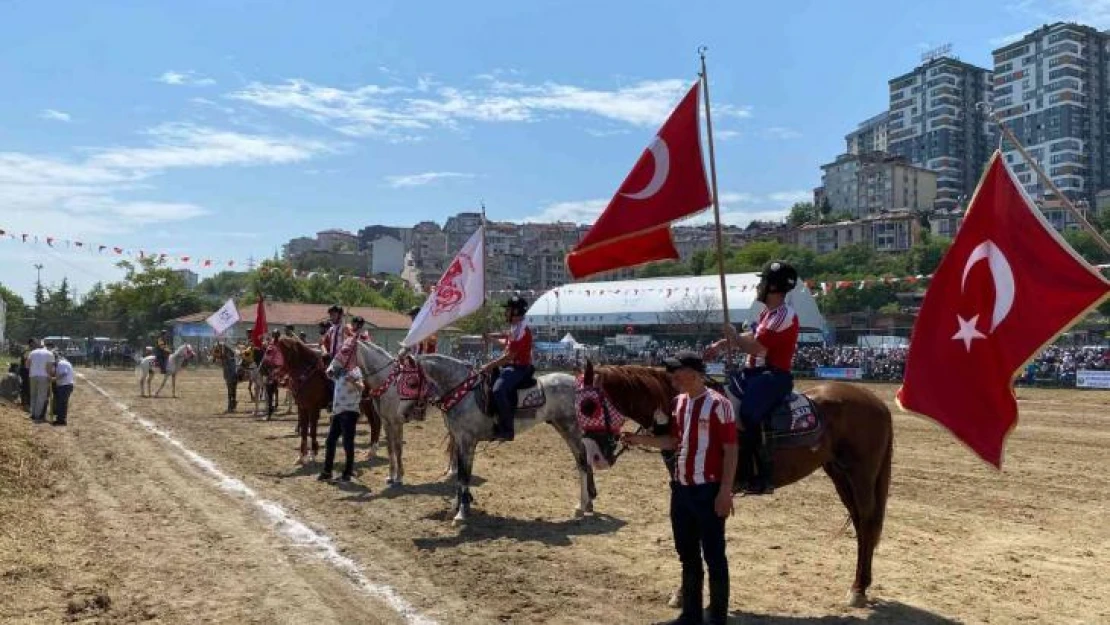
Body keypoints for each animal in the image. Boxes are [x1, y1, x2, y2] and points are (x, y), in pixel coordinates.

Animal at [401, 355, 594, 526]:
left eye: (411, 383)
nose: (406, 414)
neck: (463, 392)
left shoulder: (467, 441)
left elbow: (464, 476)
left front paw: (461, 514)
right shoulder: (460, 441)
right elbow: (460, 476)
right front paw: (456, 508)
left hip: (571, 429)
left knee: (583, 463)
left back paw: (581, 506)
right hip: (562, 427)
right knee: (582, 462)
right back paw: (586, 504)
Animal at [581, 361, 892, 612]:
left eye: (588, 406)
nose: (594, 457)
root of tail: (876, 403)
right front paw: (683, 592)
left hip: (861, 474)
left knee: (866, 522)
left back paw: (858, 590)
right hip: (839, 473)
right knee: (859, 522)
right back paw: (861, 584)